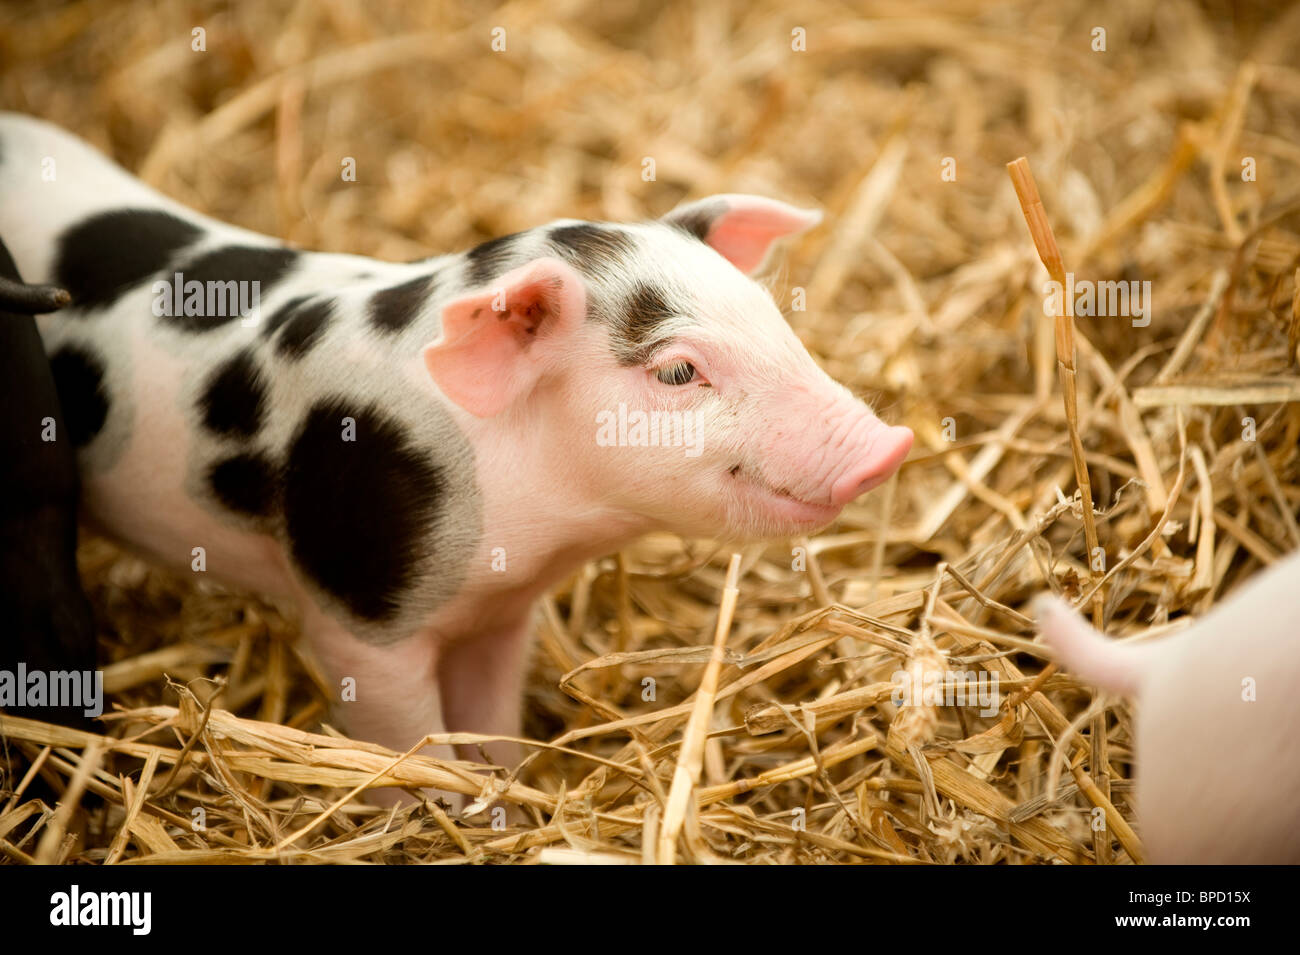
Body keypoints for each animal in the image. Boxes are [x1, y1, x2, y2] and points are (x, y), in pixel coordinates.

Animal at [0, 112, 913, 803]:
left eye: (770, 314)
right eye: (678, 370)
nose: (887, 445)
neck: (528, 520)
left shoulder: (503, 614)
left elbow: (491, 723)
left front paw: (510, 793)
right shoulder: (360, 615)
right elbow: (410, 744)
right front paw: (437, 811)